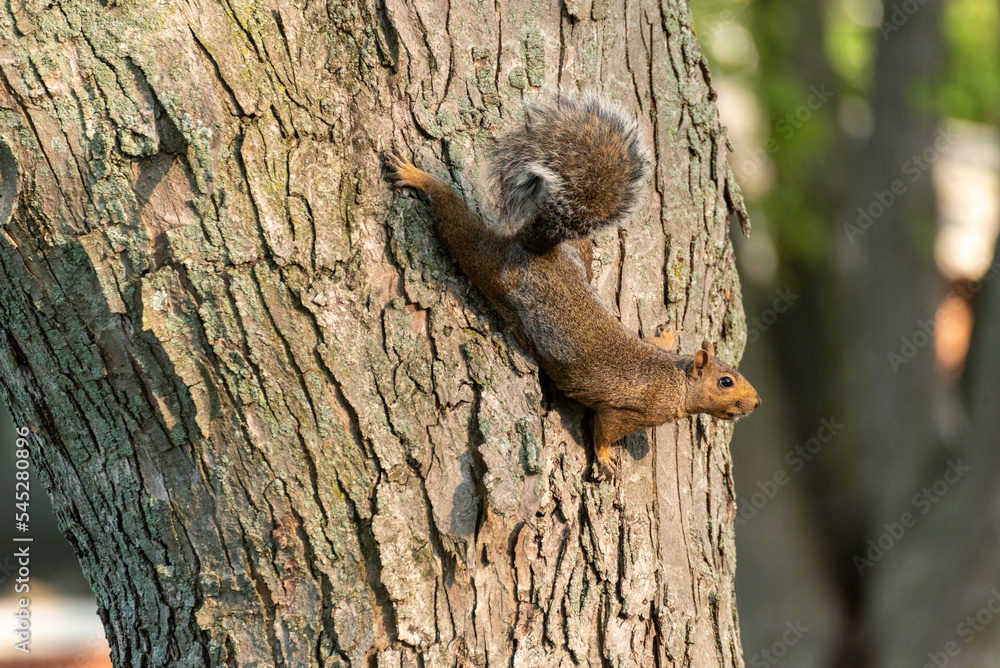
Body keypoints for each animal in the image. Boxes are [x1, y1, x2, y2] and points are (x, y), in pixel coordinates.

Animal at [386, 93, 761, 479]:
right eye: (726, 382)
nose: (757, 402)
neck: (676, 383)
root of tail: (538, 250)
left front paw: (668, 336)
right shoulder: (627, 410)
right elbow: (604, 430)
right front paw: (606, 459)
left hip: (579, 249)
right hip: (488, 266)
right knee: (458, 225)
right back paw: (420, 178)